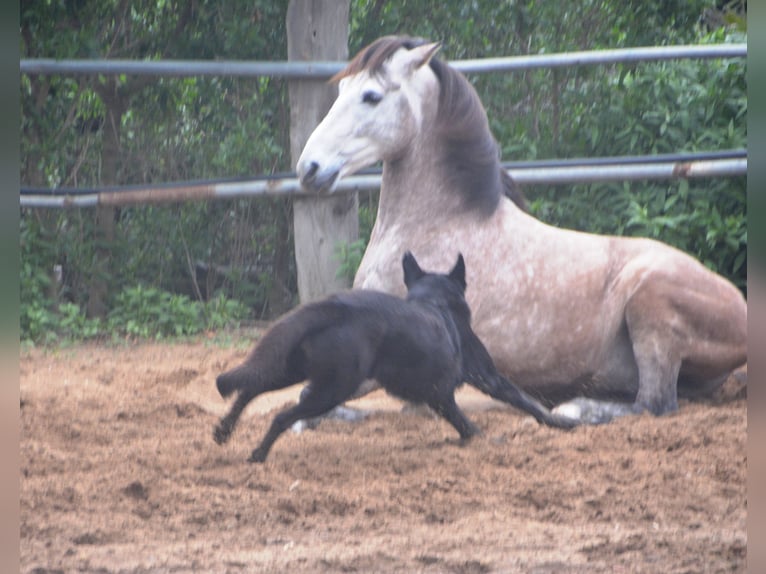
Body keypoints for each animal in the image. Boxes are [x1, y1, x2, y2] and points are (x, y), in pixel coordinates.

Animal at [214, 252, 576, 464]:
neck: (435, 301)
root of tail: (330, 307)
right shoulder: (481, 379)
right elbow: (521, 403)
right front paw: (558, 424)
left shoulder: (439, 395)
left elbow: (466, 423)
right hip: (333, 387)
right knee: (281, 415)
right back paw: (258, 453)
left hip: (296, 368)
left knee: (250, 387)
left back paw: (224, 430)